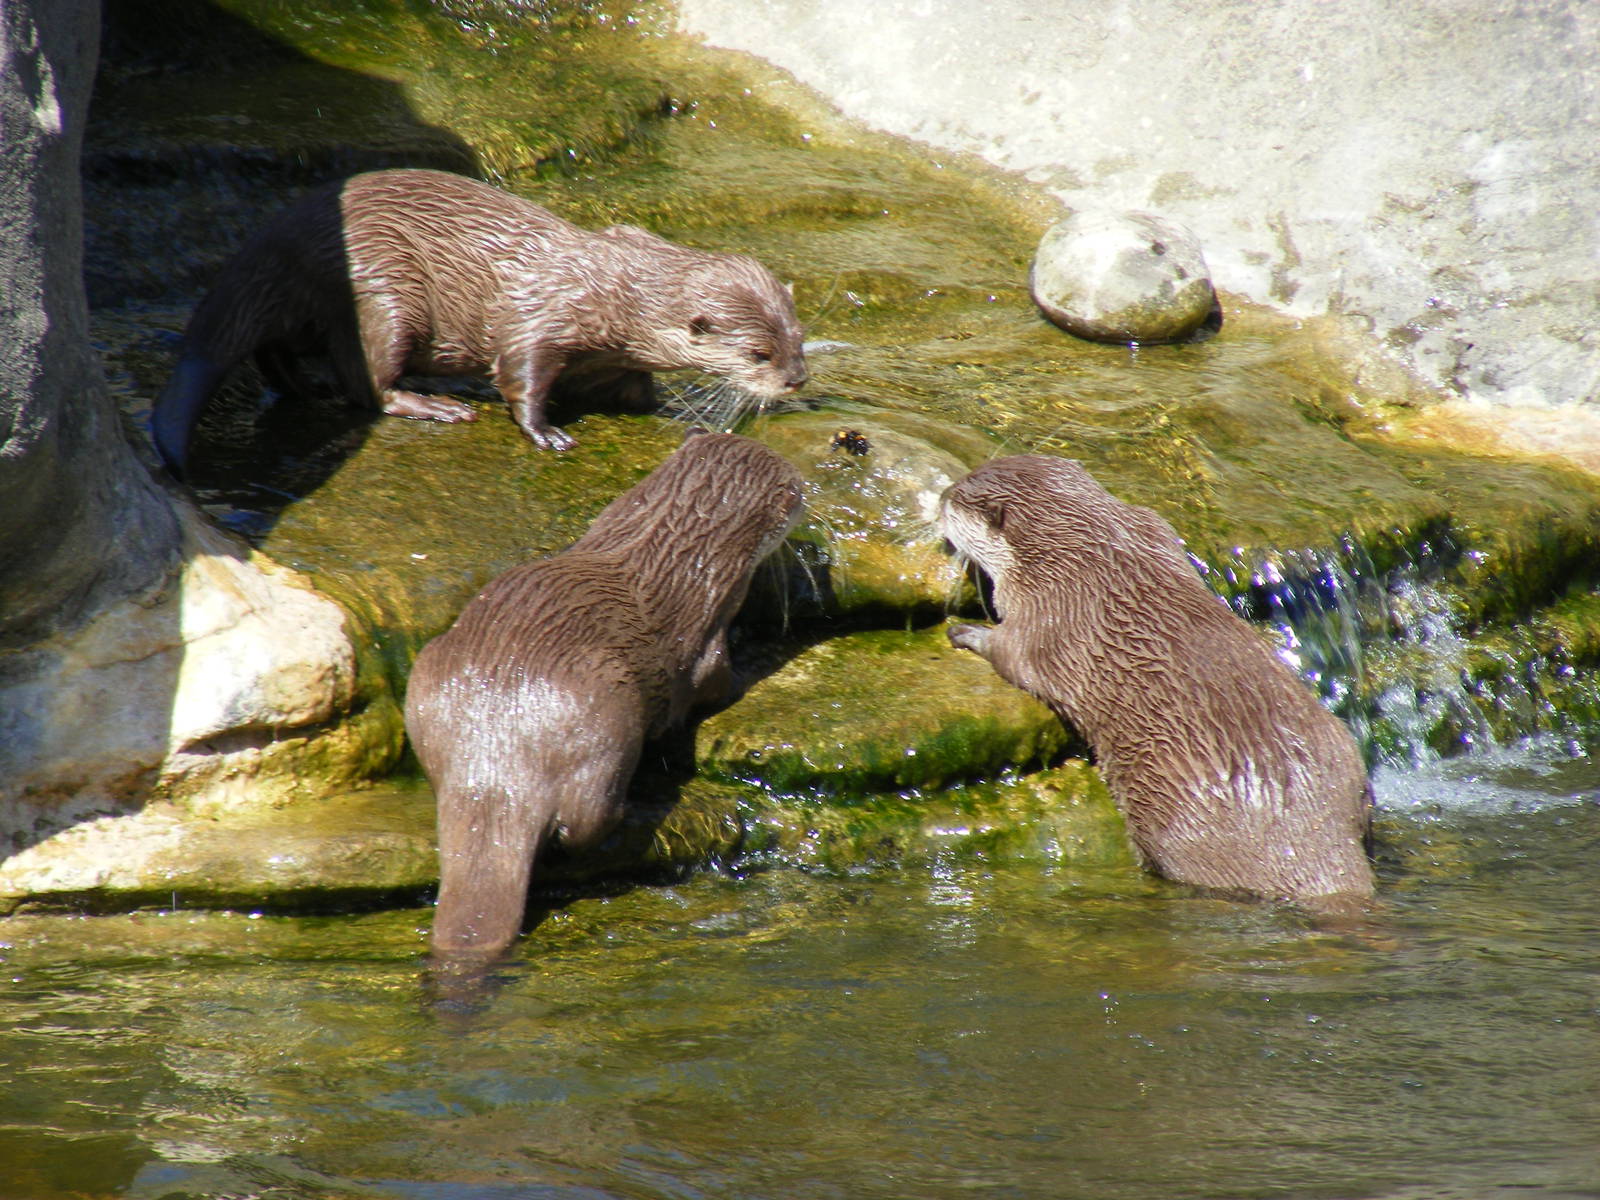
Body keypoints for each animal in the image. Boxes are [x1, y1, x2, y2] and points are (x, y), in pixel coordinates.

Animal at [151, 168, 808, 477]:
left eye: (797, 341)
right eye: (759, 355)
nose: (796, 379)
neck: (619, 292)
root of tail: (280, 235)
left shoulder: (613, 358)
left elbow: (635, 391)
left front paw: (674, 408)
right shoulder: (540, 322)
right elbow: (522, 377)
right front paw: (547, 433)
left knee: (276, 352)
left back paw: (306, 388)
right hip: (384, 291)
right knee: (365, 382)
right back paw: (433, 405)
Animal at [404, 430, 803, 964]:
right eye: (798, 487)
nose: (807, 490)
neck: (682, 557)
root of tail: (496, 761)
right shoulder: (708, 637)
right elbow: (718, 683)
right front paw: (758, 656)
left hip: (429, 681)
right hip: (612, 717)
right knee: (585, 823)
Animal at [941, 454, 1374, 905]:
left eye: (958, 497)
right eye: (967, 476)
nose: (941, 496)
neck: (1093, 548)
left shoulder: (1051, 612)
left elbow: (1012, 655)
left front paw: (967, 632)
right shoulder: (1152, 526)